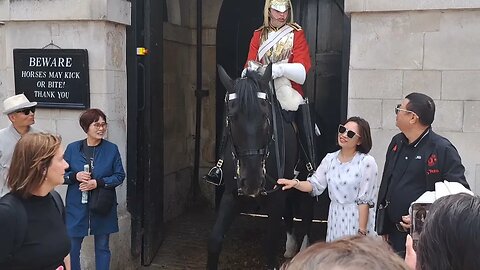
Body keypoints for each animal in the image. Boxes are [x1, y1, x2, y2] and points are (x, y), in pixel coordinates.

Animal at [207, 65, 316, 270]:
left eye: (266, 117)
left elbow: (270, 246)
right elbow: (215, 240)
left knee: (307, 212)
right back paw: (290, 246)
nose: (252, 182)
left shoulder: (275, 198)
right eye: (231, 118)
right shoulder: (231, 195)